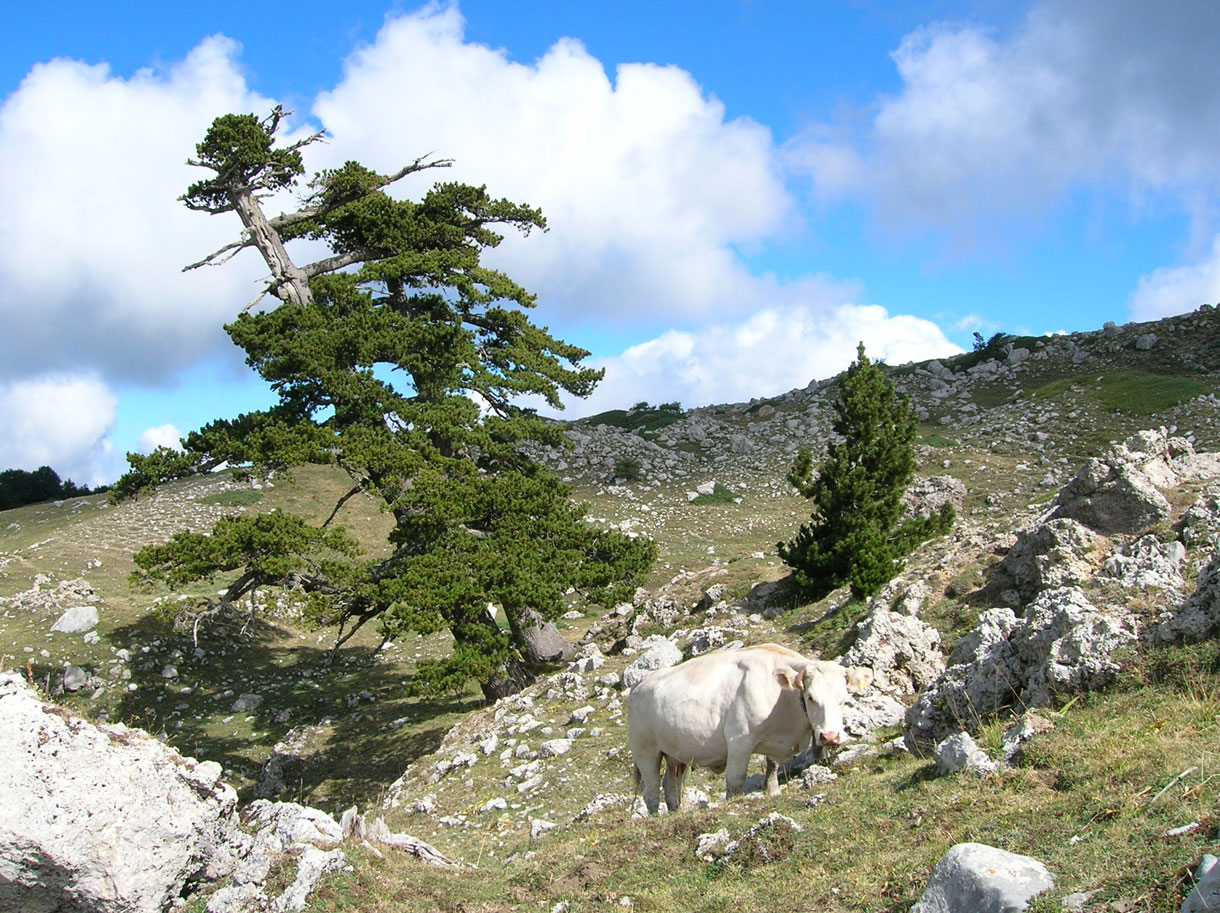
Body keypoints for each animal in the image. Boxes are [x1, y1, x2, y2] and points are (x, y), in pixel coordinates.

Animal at [624, 639, 873, 815]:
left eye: (844, 698)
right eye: (811, 697)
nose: (830, 737)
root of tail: (639, 685)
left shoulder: (776, 744)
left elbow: (772, 768)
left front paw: (772, 792)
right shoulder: (739, 740)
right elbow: (736, 781)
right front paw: (733, 805)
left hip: (677, 754)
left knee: (671, 784)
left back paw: (676, 812)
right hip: (646, 751)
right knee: (651, 788)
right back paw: (656, 816)